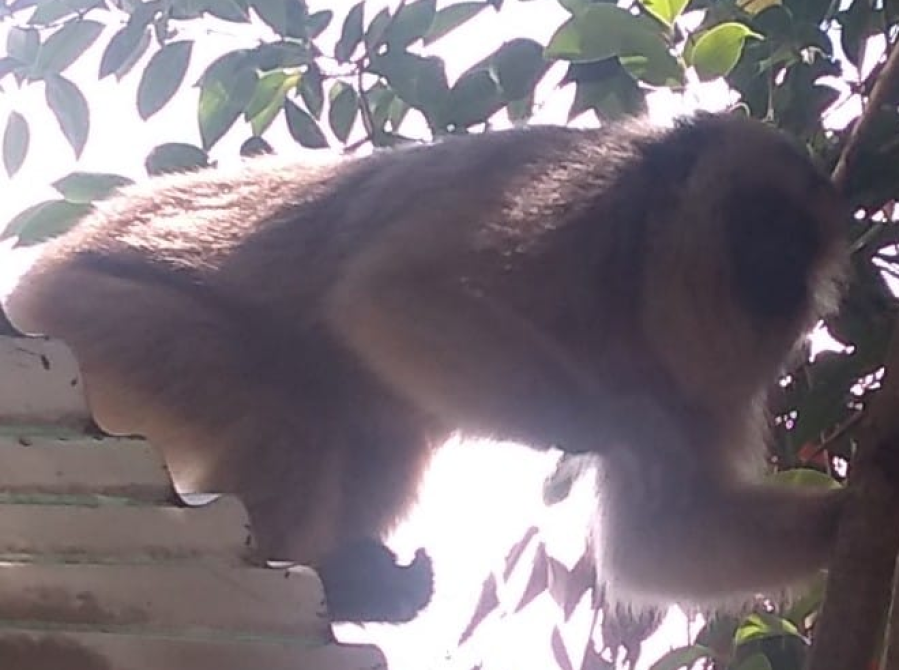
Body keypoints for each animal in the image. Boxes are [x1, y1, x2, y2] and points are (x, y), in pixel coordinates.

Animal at [2, 112, 849, 622]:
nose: (783, 279)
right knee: (286, 407)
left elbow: (664, 539)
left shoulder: (707, 388)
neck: (637, 282)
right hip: (98, 315)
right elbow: (391, 292)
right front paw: (610, 421)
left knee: (371, 426)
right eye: (759, 225)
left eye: (801, 245)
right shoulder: (581, 199)